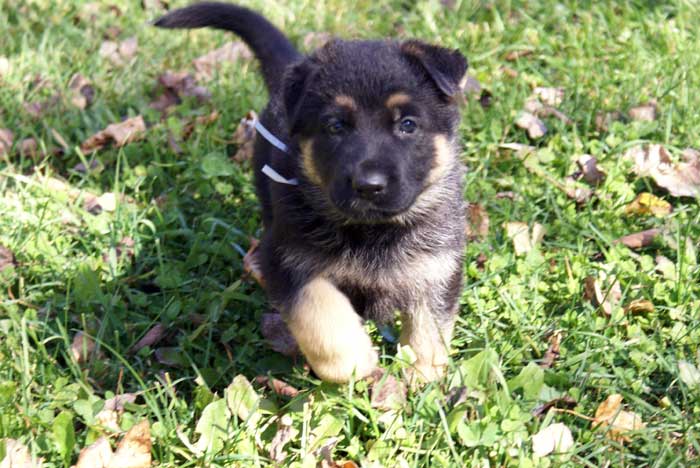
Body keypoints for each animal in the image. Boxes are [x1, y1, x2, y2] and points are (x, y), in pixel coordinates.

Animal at [156, 1, 468, 382]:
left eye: (408, 125)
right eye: (335, 126)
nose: (369, 185)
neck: (372, 233)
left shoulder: (436, 266)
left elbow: (429, 324)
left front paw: (423, 375)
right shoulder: (285, 257)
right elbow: (319, 309)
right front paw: (353, 360)